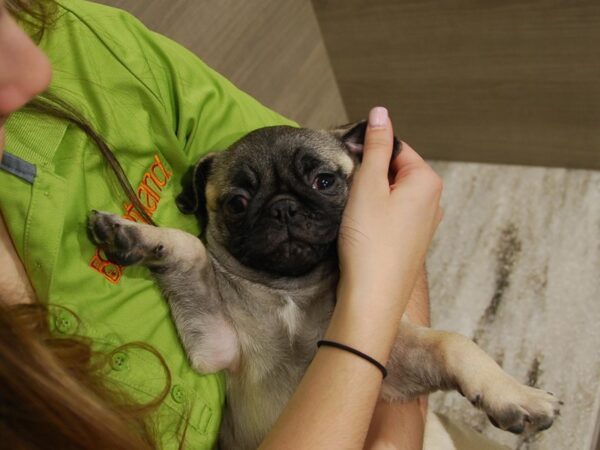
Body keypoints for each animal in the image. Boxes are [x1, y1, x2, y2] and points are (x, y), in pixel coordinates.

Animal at [88, 121, 556, 448]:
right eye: (238, 203)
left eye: (324, 182)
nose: (282, 208)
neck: (291, 291)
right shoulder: (218, 346)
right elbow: (191, 250)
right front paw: (133, 234)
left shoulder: (392, 368)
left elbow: (452, 342)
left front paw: (516, 395)